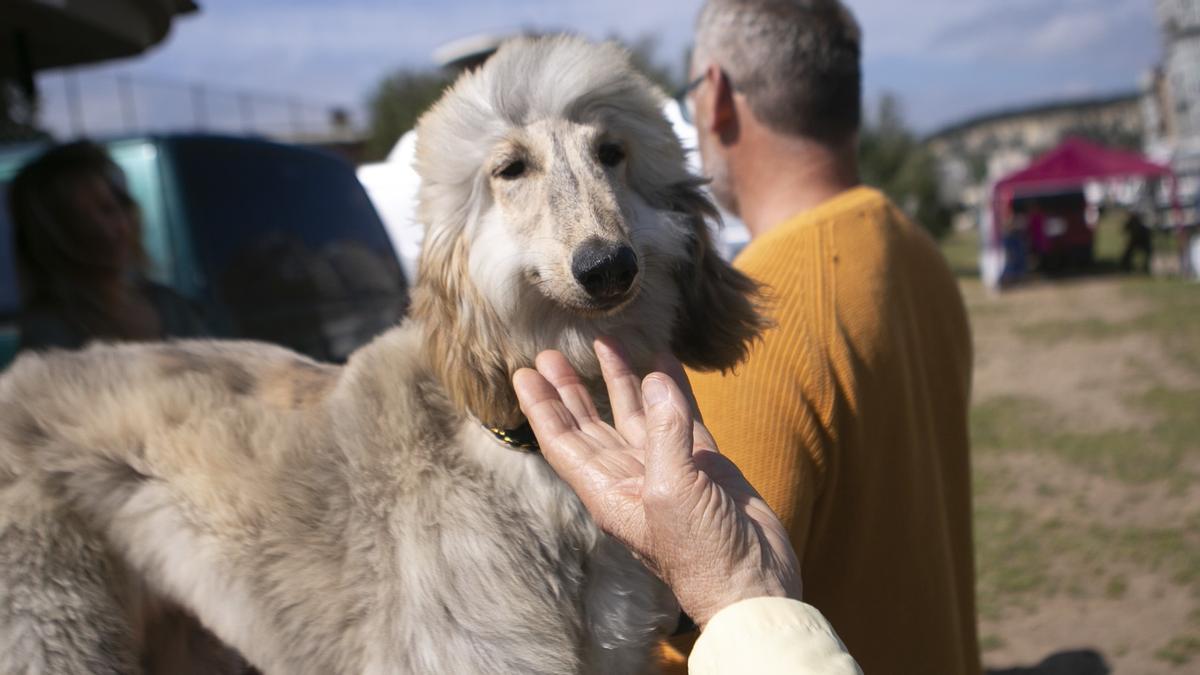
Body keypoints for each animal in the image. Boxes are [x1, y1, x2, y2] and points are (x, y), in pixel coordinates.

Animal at [0, 38, 763, 672]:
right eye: (511, 168)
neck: (524, 456)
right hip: (51, 626)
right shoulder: (472, 648)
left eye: (611, 151)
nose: (607, 267)